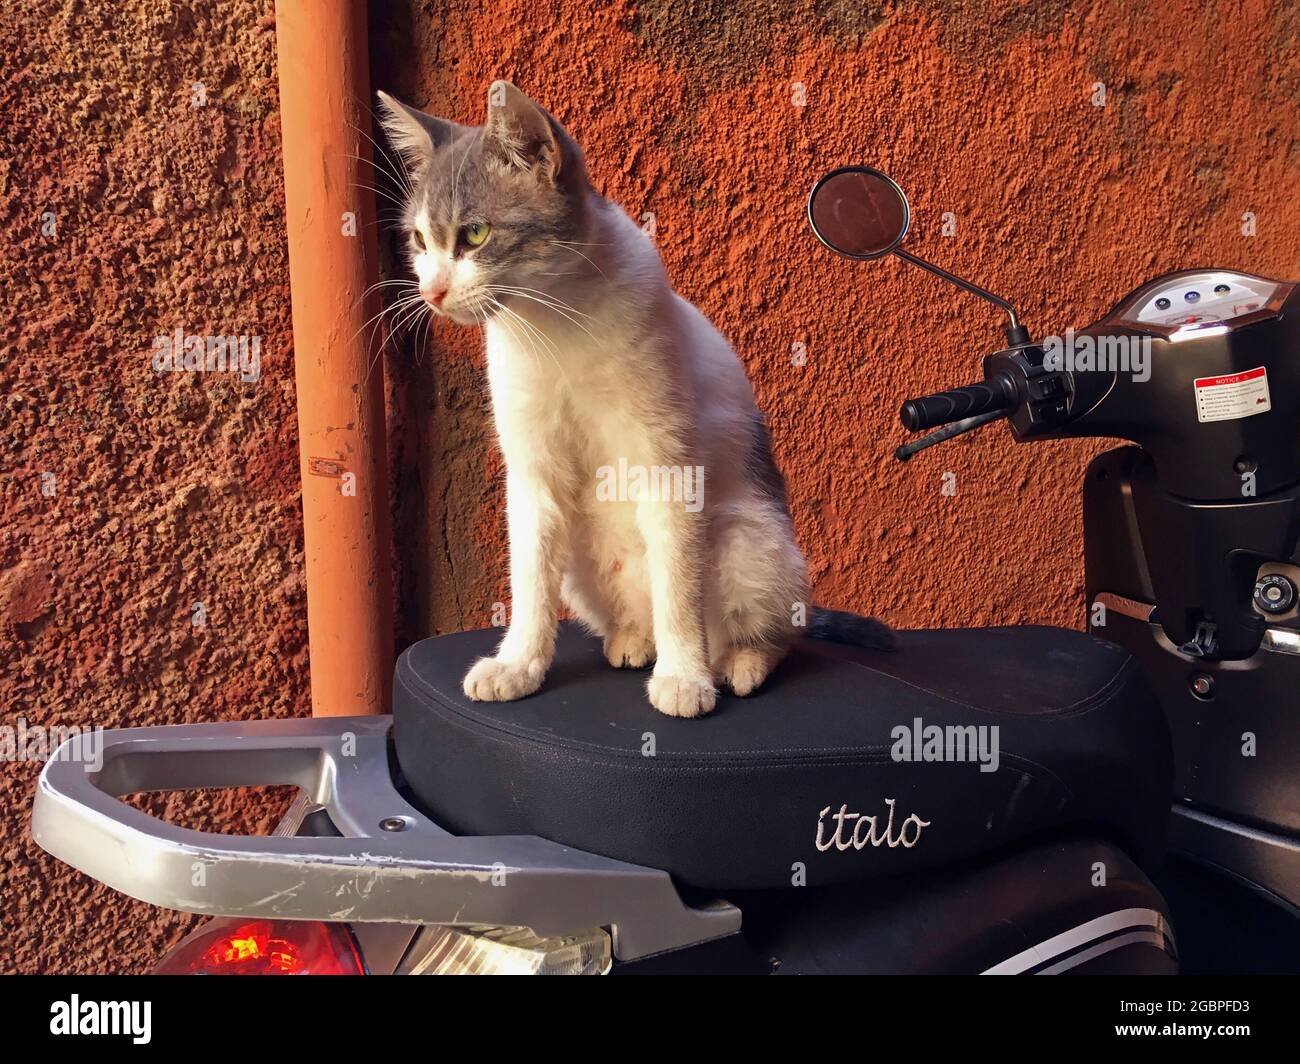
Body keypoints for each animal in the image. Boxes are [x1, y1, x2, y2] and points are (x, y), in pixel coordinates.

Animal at [371, 80, 889, 712]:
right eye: (419, 240)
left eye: (475, 234)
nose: (432, 291)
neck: (553, 323)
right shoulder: (532, 473)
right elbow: (530, 585)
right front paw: (517, 664)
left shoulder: (668, 464)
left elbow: (679, 587)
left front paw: (686, 677)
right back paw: (634, 639)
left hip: (750, 539)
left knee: (772, 627)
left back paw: (736, 662)